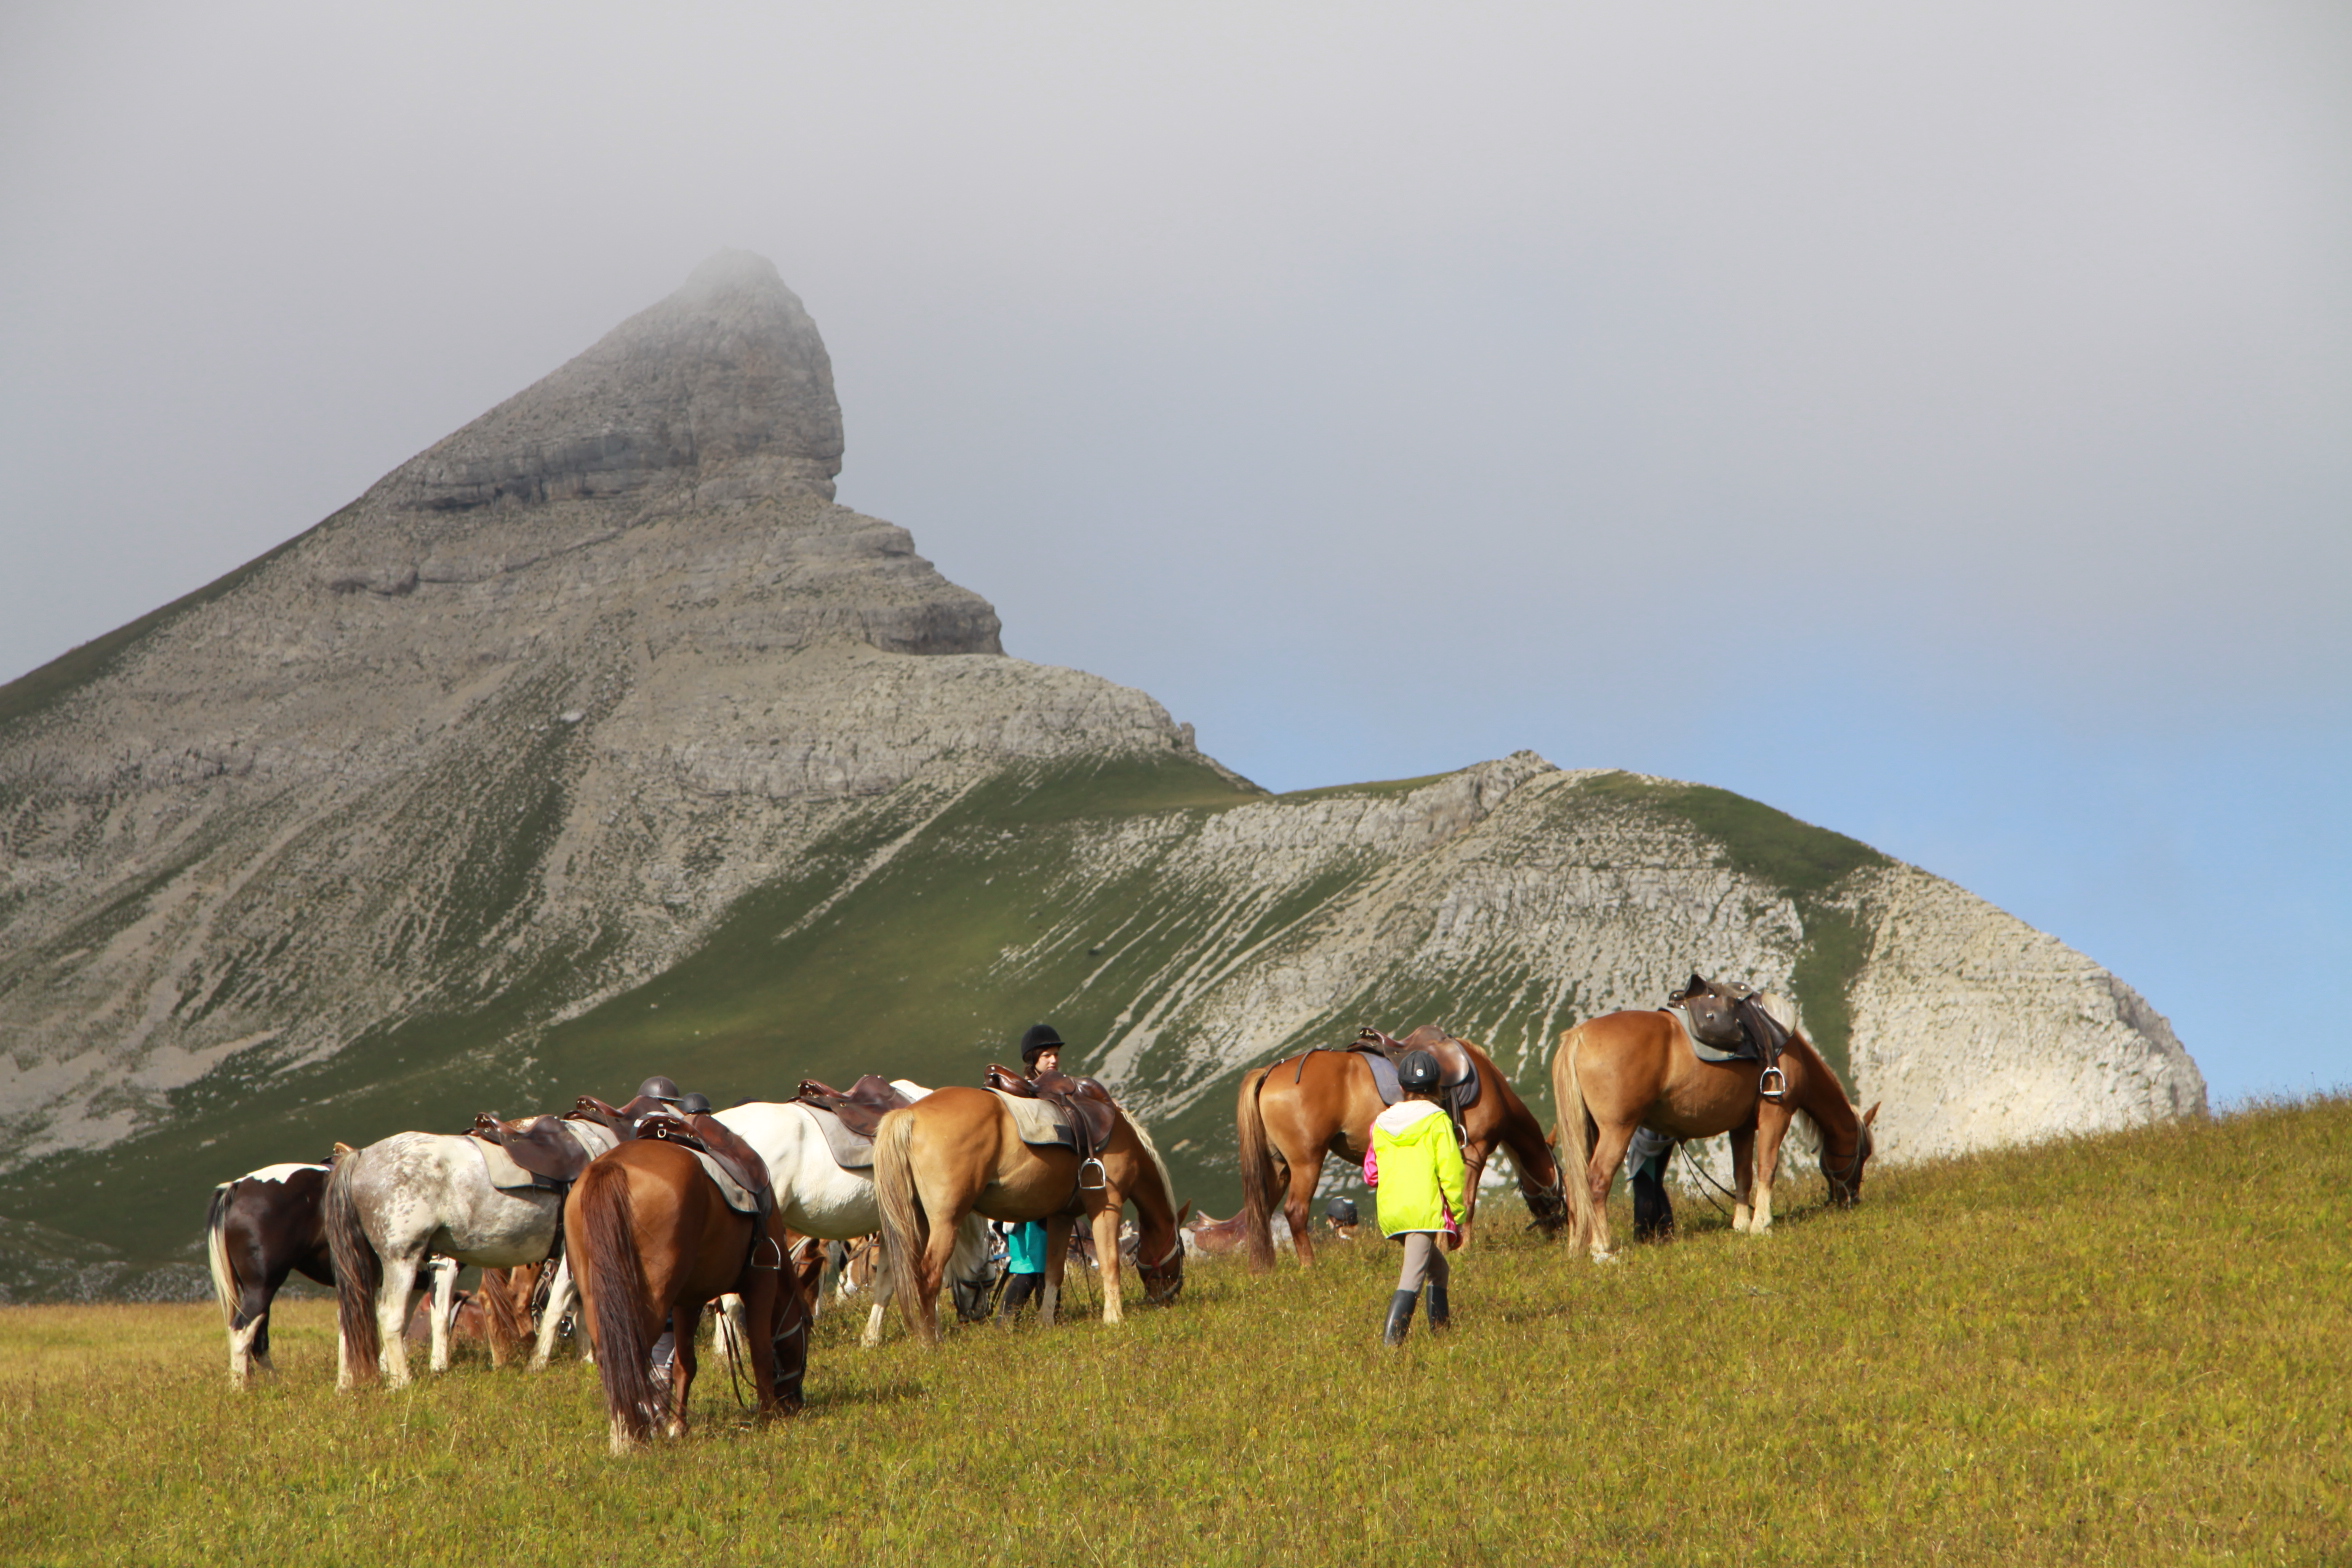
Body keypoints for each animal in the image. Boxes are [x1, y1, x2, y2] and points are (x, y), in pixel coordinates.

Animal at [325, 1132, 566, 1388]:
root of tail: (361, 1156)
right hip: (400, 1260)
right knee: (389, 1315)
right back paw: (401, 1381)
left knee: (352, 1313)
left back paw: (346, 1382)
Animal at [566, 1138, 802, 1454]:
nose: (794, 1402)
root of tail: (611, 1166)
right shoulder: (760, 1281)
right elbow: (760, 1352)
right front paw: (768, 1414)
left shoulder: (687, 1300)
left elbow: (684, 1365)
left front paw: (679, 1426)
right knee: (632, 1355)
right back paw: (635, 1436)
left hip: (599, 1298)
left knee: (611, 1357)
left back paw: (623, 1435)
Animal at [873, 1086, 1187, 1345]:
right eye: (1181, 1250)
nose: (1169, 1295)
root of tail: (910, 1114)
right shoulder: (1106, 1204)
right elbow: (1110, 1263)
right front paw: (1114, 1319)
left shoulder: (1061, 1216)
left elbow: (1053, 1271)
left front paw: (1046, 1321)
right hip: (946, 1221)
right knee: (929, 1275)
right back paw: (931, 1340)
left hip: (917, 1222)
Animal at [1234, 1031, 1568, 1270]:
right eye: (1561, 1177)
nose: (1560, 1227)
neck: (1489, 1083)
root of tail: (1270, 1072)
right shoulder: (1475, 1151)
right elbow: (1467, 1202)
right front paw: (1463, 1249)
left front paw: (1443, 1246)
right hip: (1306, 1162)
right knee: (1295, 1211)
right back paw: (1309, 1267)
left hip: (1277, 1168)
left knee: (1260, 1214)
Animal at [1550, 975, 1880, 1260]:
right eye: (1863, 1154)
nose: (1851, 1199)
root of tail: (1578, 1035)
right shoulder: (1776, 1114)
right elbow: (1767, 1166)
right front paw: (1762, 1224)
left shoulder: (1742, 1126)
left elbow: (1742, 1173)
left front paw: (1742, 1224)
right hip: (1618, 1129)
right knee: (1597, 1178)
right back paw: (1602, 1249)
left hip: (1590, 1130)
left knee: (1575, 1180)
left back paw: (1576, 1246)